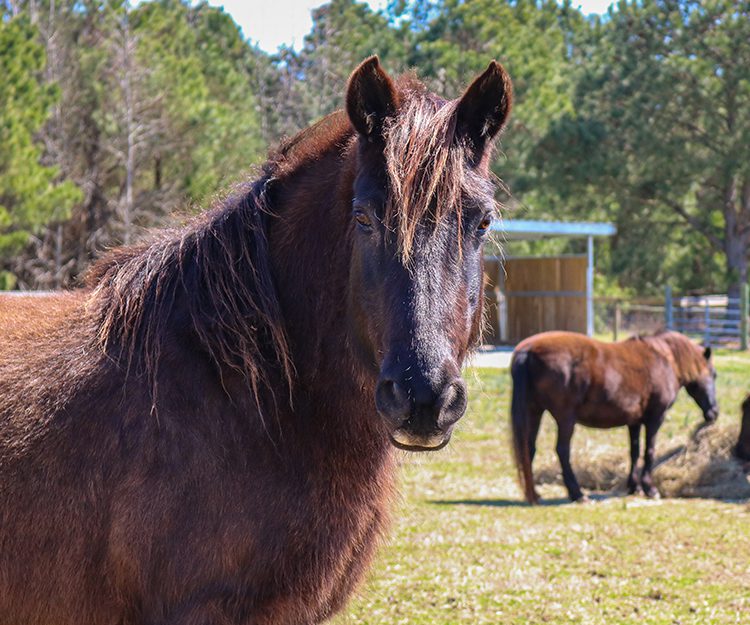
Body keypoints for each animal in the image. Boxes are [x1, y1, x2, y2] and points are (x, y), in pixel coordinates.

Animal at [512, 332, 724, 502]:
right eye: (713, 374)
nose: (713, 413)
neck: (664, 360)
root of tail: (528, 351)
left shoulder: (634, 422)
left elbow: (634, 451)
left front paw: (634, 486)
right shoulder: (655, 418)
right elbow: (649, 451)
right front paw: (650, 489)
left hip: (535, 412)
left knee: (529, 448)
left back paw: (535, 494)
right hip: (565, 419)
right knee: (562, 451)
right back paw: (577, 494)